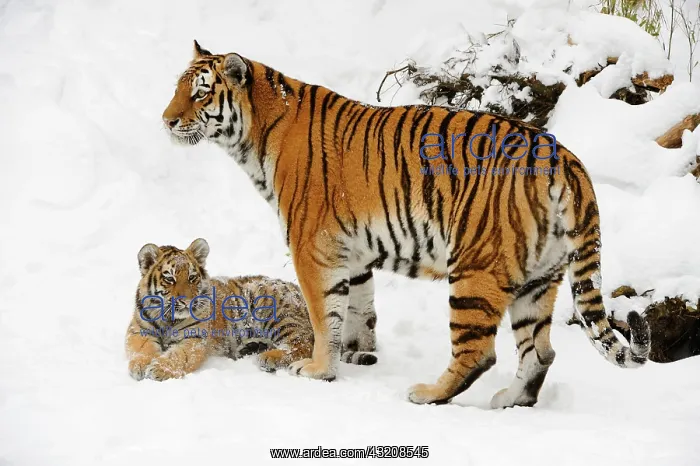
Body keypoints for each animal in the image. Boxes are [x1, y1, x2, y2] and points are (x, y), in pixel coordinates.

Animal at [125, 238, 377, 382]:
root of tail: (298, 290)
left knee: (302, 344)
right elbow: (141, 350)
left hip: (277, 314)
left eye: (192, 277)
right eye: (169, 278)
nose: (187, 301)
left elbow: (178, 356)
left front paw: (159, 369)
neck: (168, 317)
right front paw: (140, 366)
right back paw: (252, 347)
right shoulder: (139, 331)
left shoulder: (194, 338)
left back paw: (267, 357)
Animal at [160, 41, 651, 407]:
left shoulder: (312, 245)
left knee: (479, 352)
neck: (255, 132)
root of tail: (565, 158)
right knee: (541, 351)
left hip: (474, 269)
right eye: (178, 88)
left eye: (201, 94)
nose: (167, 120)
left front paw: (318, 369)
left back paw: (428, 393)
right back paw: (511, 400)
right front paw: (357, 354)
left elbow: (324, 314)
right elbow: (358, 309)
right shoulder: (353, 251)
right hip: (540, 277)